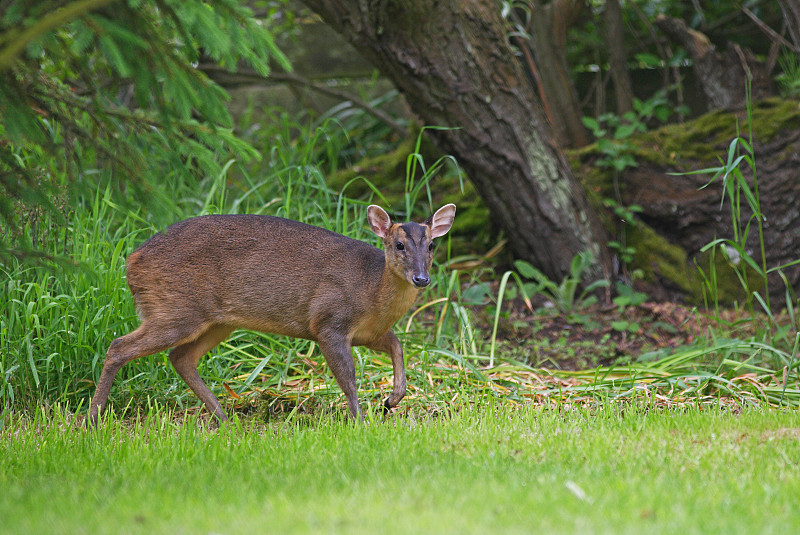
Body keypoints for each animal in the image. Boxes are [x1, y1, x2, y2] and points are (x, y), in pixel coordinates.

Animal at [89, 203, 456, 426]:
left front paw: (392, 399)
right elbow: (348, 376)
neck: (371, 291)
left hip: (216, 321)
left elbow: (397, 346)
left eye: (431, 245)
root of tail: (131, 262)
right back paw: (92, 419)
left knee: (180, 357)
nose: (421, 278)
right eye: (399, 245)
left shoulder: (370, 332)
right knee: (119, 346)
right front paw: (359, 421)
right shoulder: (328, 321)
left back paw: (226, 419)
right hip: (174, 309)